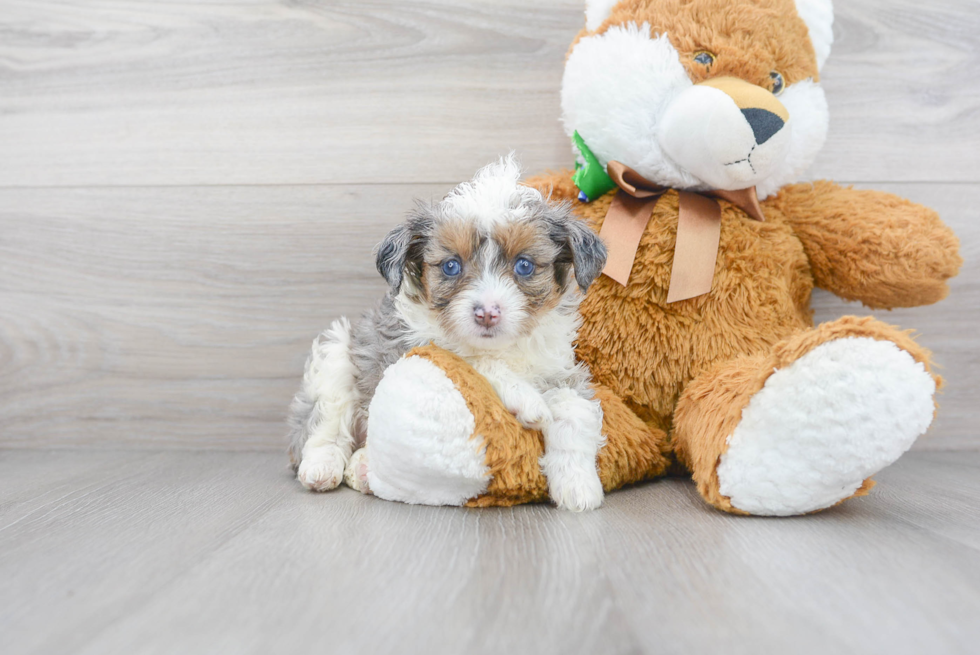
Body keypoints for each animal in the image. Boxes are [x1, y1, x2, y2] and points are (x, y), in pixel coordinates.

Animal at [288, 158, 608, 512]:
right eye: (451, 266)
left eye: (524, 265)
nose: (487, 313)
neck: (501, 348)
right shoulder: (412, 347)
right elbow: (471, 360)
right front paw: (526, 398)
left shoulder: (563, 370)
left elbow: (574, 411)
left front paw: (578, 485)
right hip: (336, 351)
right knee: (324, 423)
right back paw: (322, 466)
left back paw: (363, 468)